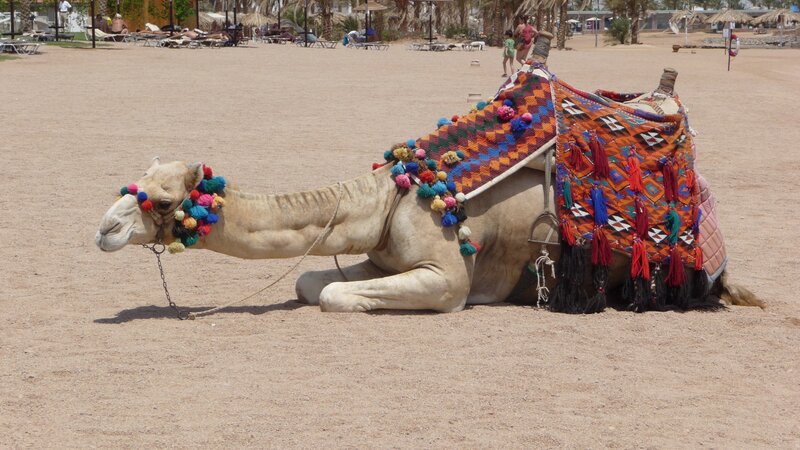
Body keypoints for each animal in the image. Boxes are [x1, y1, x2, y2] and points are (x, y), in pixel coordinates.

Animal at [96, 39, 761, 314]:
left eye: (160, 200)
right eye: (130, 183)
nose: (104, 229)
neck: (390, 197)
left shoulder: (447, 278)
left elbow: (332, 296)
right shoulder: (382, 255)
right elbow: (311, 282)